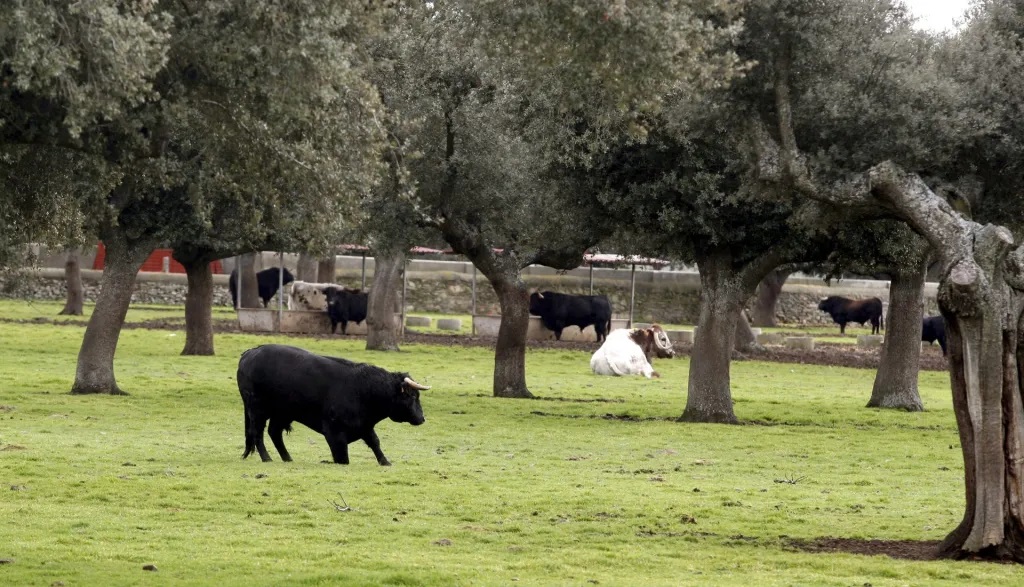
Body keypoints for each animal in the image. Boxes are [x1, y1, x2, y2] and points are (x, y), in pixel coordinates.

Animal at [237, 340, 430, 465]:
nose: (422, 418)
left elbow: (375, 443)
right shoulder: (334, 433)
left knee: (274, 432)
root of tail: (249, 353)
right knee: (257, 433)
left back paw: (287, 458)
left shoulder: (365, 426)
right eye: (412, 397)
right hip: (257, 410)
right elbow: (343, 458)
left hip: (282, 413)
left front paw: (385, 462)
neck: (363, 389)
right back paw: (267, 458)